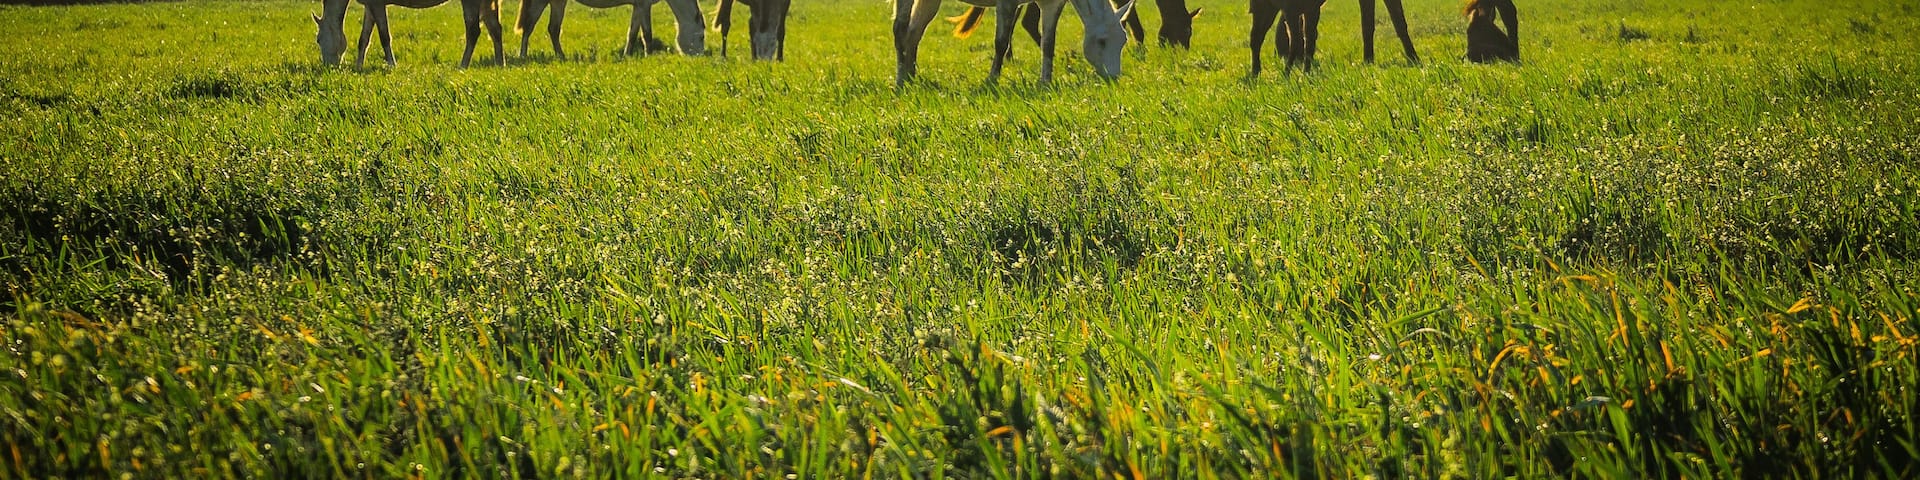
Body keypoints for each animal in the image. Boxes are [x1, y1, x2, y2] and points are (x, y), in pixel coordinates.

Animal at [315, 0, 504, 68]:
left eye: (318, 40)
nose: (328, 67)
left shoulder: (377, 5)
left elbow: (384, 36)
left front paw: (392, 65)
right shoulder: (370, 7)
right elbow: (364, 39)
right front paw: (358, 66)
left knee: (473, 32)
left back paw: (463, 66)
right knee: (495, 29)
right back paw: (499, 64)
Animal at [514, 0, 708, 57]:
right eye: (701, 37)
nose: (699, 56)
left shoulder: (638, 7)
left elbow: (632, 33)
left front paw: (627, 55)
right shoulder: (644, 6)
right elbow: (647, 34)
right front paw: (649, 55)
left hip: (557, 2)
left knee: (551, 30)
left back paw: (560, 56)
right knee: (530, 28)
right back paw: (523, 56)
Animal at [894, 0, 1134, 87]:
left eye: (1123, 41)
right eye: (1102, 41)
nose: (1114, 77)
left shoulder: (1051, 5)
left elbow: (1048, 44)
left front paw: (1045, 82)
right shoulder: (1006, 3)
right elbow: (1001, 43)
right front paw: (992, 80)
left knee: (914, 33)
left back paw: (910, 75)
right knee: (900, 30)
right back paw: (900, 78)